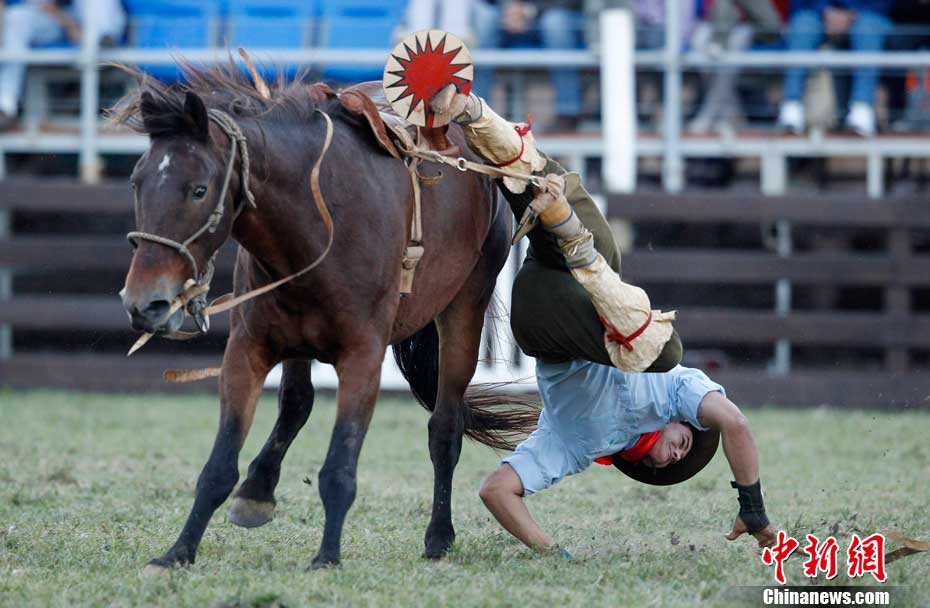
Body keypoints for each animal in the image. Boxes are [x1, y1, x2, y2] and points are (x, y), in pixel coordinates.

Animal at [114, 64, 536, 572]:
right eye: (136, 183)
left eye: (199, 189)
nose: (144, 303)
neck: (319, 217)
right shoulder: (247, 349)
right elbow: (219, 465)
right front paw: (179, 551)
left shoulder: (363, 357)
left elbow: (339, 465)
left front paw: (327, 557)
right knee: (296, 402)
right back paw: (258, 490)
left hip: (465, 307)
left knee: (444, 428)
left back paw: (439, 536)